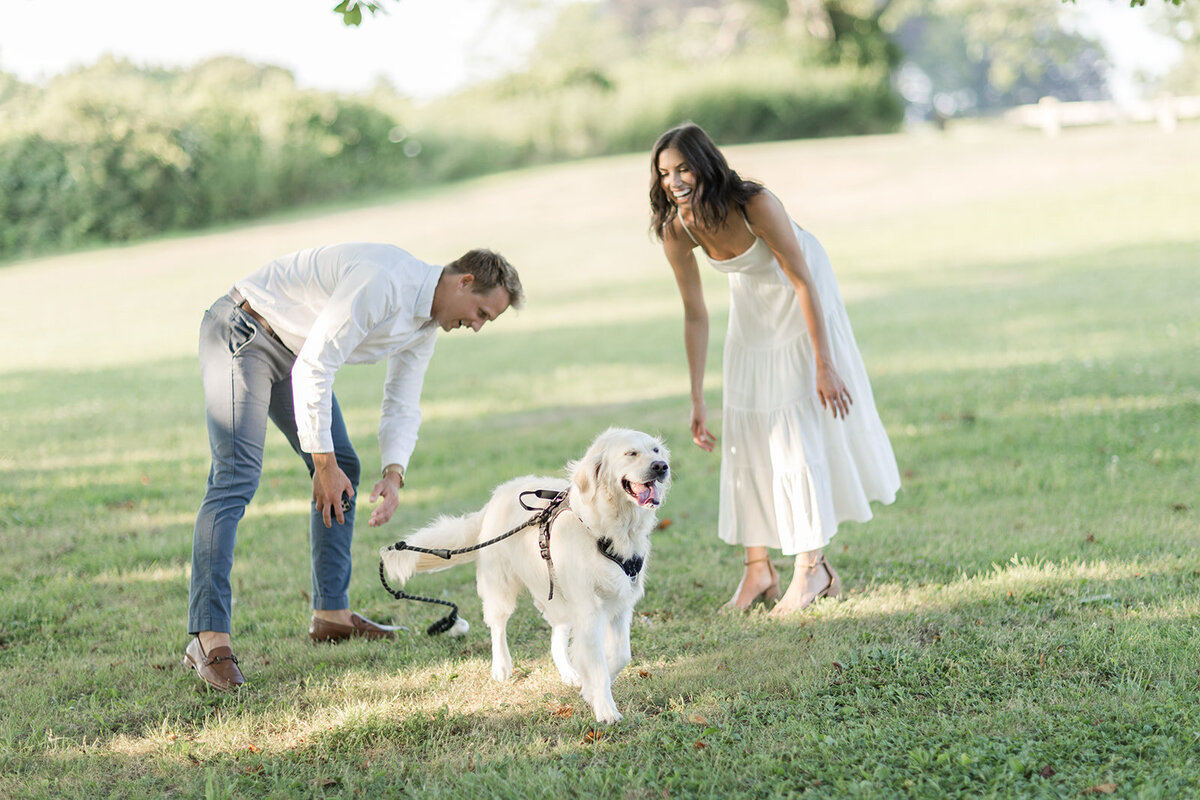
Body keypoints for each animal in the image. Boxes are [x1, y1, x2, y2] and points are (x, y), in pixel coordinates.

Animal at [381, 431, 672, 724]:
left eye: (656, 450)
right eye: (631, 453)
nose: (661, 466)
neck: (608, 527)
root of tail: (495, 498)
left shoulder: (620, 604)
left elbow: (621, 655)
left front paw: (589, 691)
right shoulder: (589, 608)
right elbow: (598, 664)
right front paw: (605, 709)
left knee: (557, 633)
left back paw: (568, 672)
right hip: (501, 587)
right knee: (498, 627)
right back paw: (501, 667)